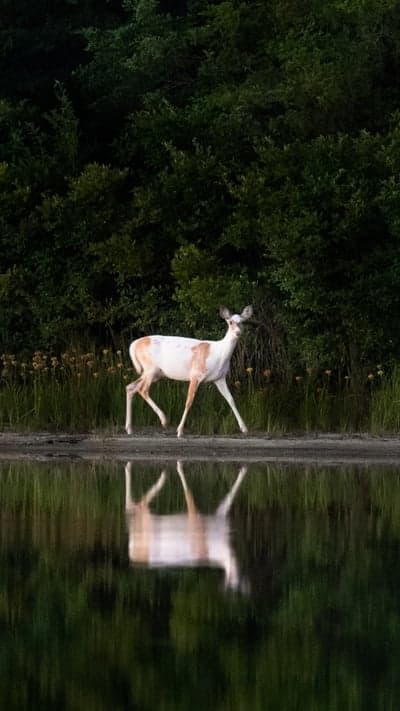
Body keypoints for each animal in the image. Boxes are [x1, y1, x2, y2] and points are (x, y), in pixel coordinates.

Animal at [125, 305, 253, 437]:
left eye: (242, 322)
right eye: (230, 322)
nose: (238, 333)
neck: (219, 354)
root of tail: (134, 345)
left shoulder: (219, 378)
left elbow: (231, 400)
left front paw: (244, 428)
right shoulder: (196, 374)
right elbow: (189, 401)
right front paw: (179, 431)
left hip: (154, 373)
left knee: (130, 387)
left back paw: (129, 428)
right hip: (150, 368)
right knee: (142, 389)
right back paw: (164, 420)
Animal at [125, 461, 248, 591]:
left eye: (238, 579)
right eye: (232, 580)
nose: (236, 566)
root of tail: (132, 551)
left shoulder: (218, 515)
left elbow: (227, 500)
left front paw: (243, 469)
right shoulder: (194, 516)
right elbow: (188, 492)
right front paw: (179, 465)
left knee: (135, 506)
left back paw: (159, 476)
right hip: (146, 521)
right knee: (136, 505)